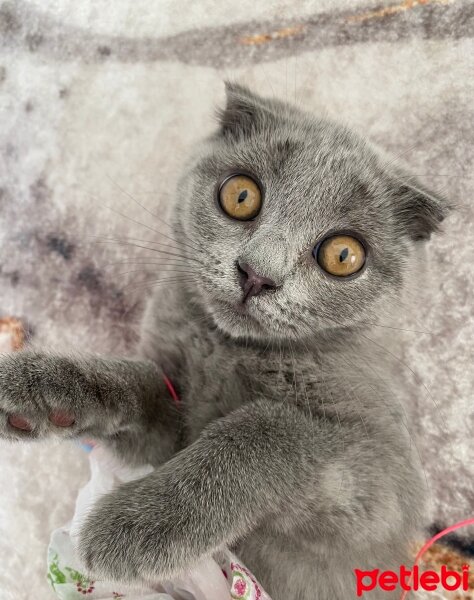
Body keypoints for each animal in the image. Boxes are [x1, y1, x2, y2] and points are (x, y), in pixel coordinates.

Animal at [0, 83, 448, 600]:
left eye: (343, 255)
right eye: (241, 195)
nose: (256, 274)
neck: (227, 348)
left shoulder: (384, 487)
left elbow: (269, 428)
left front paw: (132, 527)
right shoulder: (165, 427)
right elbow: (142, 382)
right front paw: (38, 389)